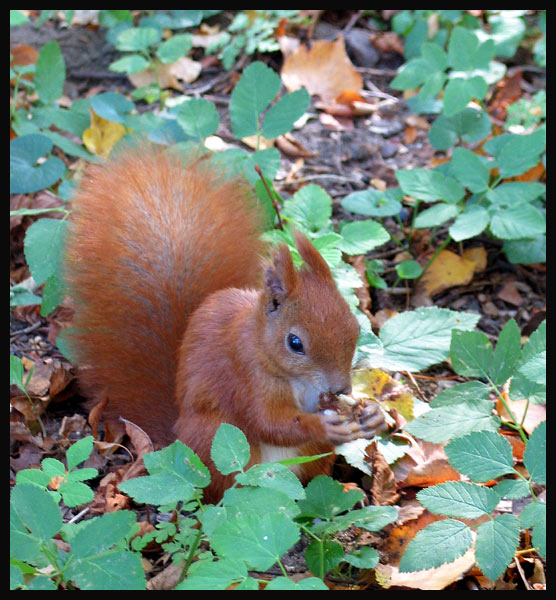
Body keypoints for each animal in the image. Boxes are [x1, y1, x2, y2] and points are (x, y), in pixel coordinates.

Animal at [64, 145, 386, 502]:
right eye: (295, 343)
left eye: (356, 328)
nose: (341, 389)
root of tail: (177, 439)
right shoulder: (241, 374)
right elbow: (267, 423)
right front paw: (323, 424)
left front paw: (373, 414)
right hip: (213, 440)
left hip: (312, 457)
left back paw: (343, 489)